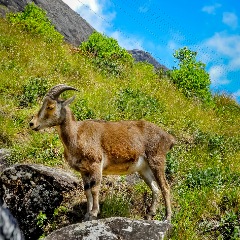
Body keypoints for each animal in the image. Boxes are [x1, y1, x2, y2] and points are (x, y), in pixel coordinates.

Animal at [30, 84, 175, 221]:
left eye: (50, 106)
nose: (32, 124)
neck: (76, 134)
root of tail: (168, 138)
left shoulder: (96, 164)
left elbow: (95, 189)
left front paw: (94, 213)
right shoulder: (84, 170)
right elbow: (87, 191)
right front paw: (87, 215)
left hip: (157, 160)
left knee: (165, 187)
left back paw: (167, 217)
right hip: (144, 169)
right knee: (155, 188)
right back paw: (150, 215)